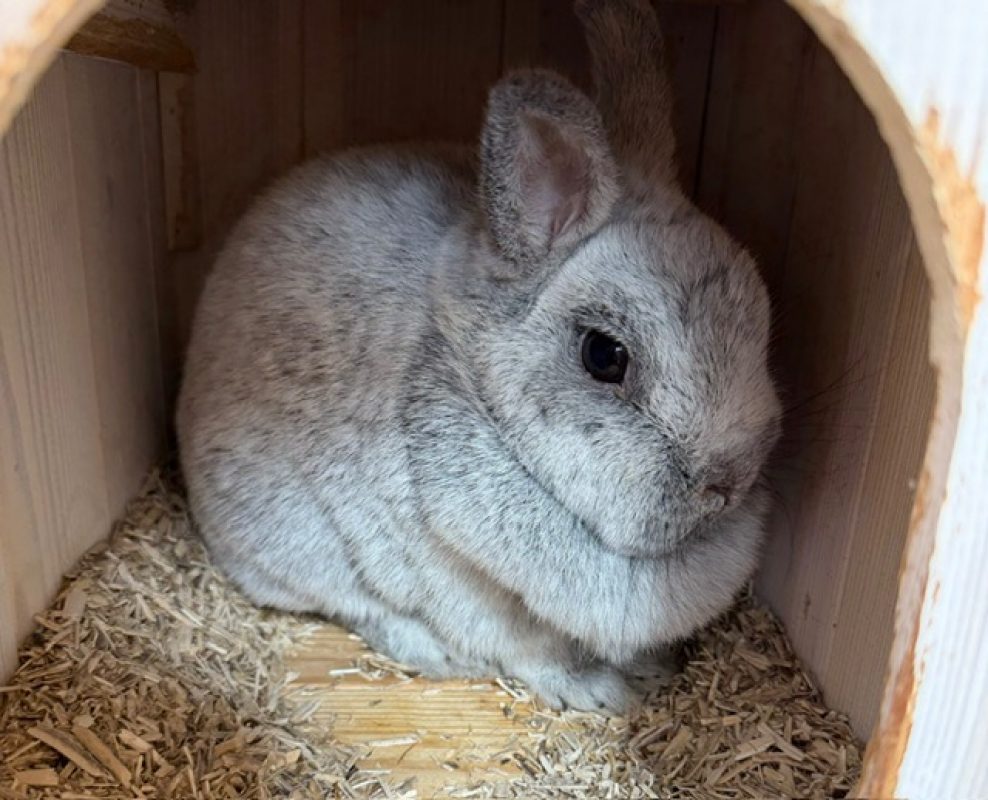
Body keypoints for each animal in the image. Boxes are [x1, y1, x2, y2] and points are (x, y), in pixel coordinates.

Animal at [176, 0, 782, 713]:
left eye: (762, 321)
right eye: (605, 356)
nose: (726, 483)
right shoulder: (478, 599)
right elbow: (538, 656)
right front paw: (607, 693)